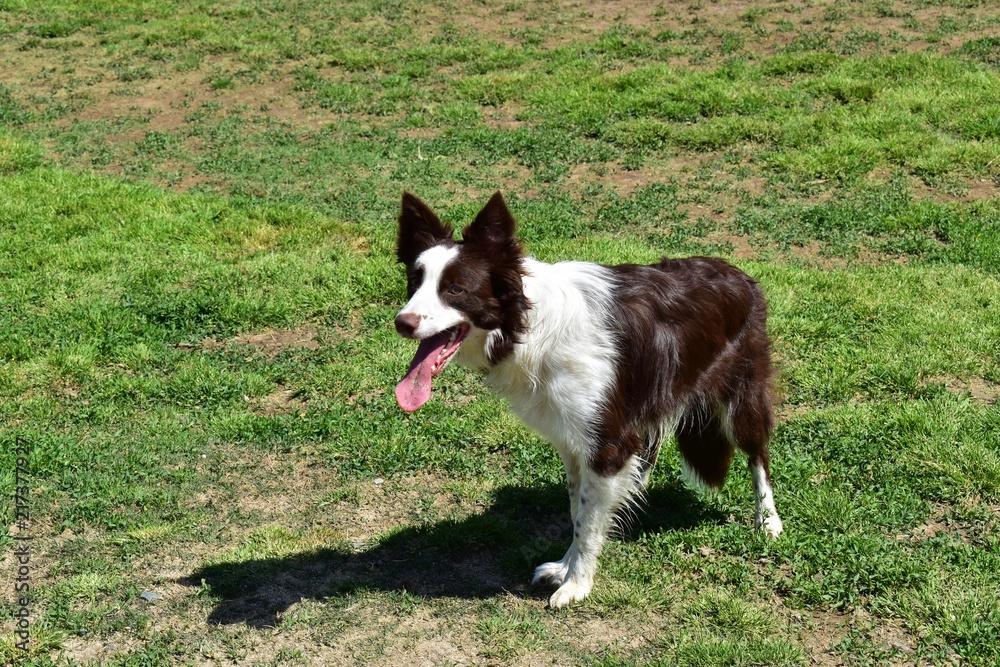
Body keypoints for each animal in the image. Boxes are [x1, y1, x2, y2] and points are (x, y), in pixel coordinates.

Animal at [390, 190, 780, 608]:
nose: (402, 323)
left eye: (455, 289)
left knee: (758, 455)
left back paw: (769, 521)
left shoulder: (606, 441)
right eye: (414, 282)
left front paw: (577, 583)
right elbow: (579, 509)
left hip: (742, 396)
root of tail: (739, 274)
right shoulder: (574, 438)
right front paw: (565, 567)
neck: (530, 329)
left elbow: (589, 522)